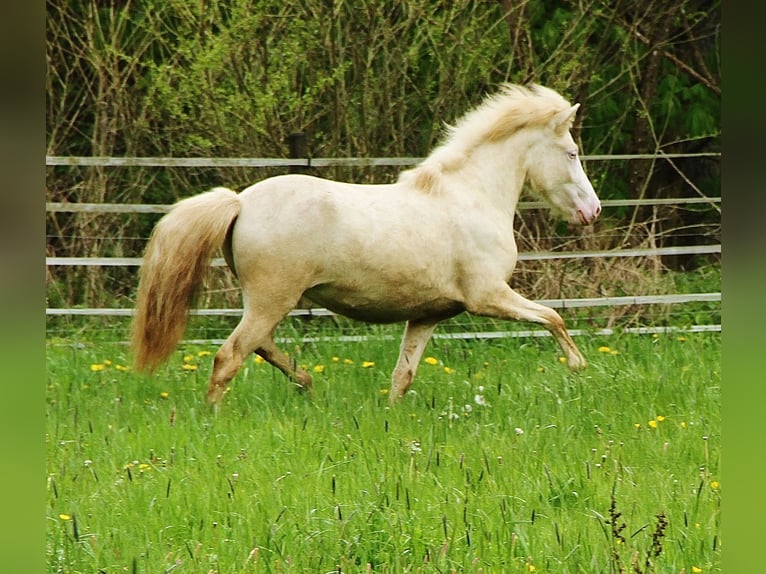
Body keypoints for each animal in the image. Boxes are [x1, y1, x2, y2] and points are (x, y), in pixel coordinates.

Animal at [132, 83, 604, 408]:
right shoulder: (488, 296)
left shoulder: (428, 315)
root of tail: (240, 201)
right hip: (271, 300)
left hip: (268, 303)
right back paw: (215, 417)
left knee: (260, 347)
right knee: (230, 356)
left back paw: (307, 383)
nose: (593, 210)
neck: (469, 195)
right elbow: (554, 318)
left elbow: (403, 375)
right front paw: (579, 369)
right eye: (572, 152)